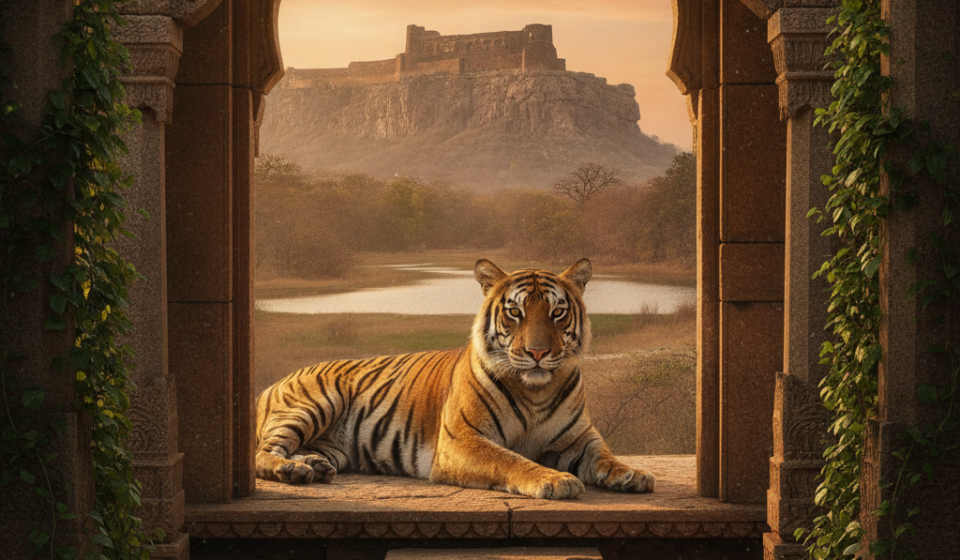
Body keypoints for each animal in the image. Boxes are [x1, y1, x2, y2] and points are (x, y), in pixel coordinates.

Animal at [255, 258, 655, 499]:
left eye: (557, 313)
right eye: (515, 312)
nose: (538, 353)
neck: (536, 390)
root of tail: (271, 384)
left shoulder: (580, 438)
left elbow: (605, 455)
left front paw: (633, 474)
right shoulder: (464, 440)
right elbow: (510, 460)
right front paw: (554, 480)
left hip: (333, 444)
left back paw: (315, 466)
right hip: (314, 405)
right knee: (263, 452)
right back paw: (294, 471)